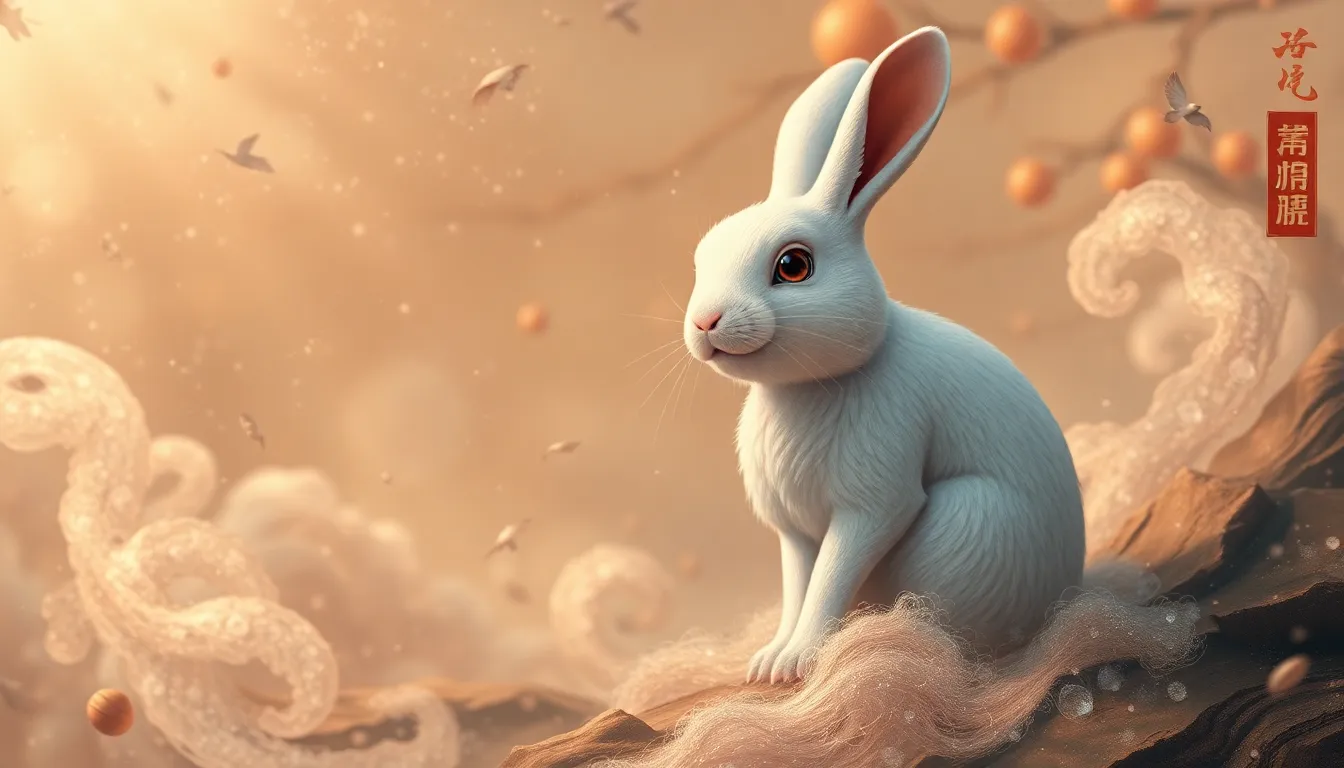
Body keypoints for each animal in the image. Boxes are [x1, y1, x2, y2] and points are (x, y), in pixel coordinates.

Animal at [681, 27, 1086, 684]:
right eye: (700, 257)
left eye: (793, 265)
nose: (704, 322)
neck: (808, 389)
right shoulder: (795, 532)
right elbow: (796, 587)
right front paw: (768, 661)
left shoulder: (871, 503)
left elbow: (828, 581)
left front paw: (798, 660)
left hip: (968, 528)